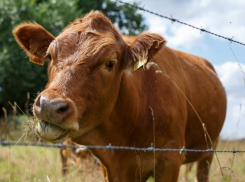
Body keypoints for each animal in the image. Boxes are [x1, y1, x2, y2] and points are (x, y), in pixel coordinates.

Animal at [12, 10, 226, 181]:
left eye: (109, 63)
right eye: (49, 56)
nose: (49, 106)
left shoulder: (170, 158)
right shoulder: (109, 165)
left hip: (209, 148)